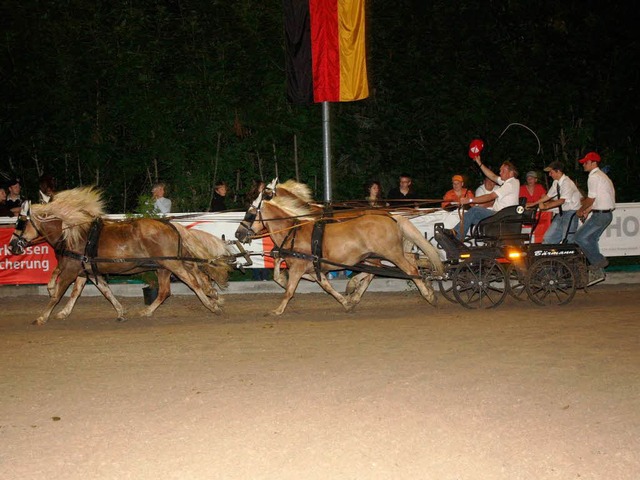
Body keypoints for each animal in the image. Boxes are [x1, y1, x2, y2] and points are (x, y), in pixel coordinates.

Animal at [8, 186, 232, 324]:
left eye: (20, 222)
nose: (11, 247)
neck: (72, 233)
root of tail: (169, 224)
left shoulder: (71, 269)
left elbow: (58, 293)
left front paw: (42, 317)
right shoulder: (86, 270)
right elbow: (95, 291)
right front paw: (119, 311)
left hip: (172, 265)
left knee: (192, 282)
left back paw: (212, 305)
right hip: (163, 267)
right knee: (166, 290)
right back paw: (149, 310)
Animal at [236, 179, 444, 316]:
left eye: (250, 214)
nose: (238, 234)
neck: (295, 229)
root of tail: (391, 216)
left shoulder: (298, 267)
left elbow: (289, 290)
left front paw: (277, 310)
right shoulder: (313, 267)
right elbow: (325, 285)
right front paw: (346, 302)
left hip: (391, 253)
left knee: (410, 269)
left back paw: (428, 295)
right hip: (376, 254)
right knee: (404, 263)